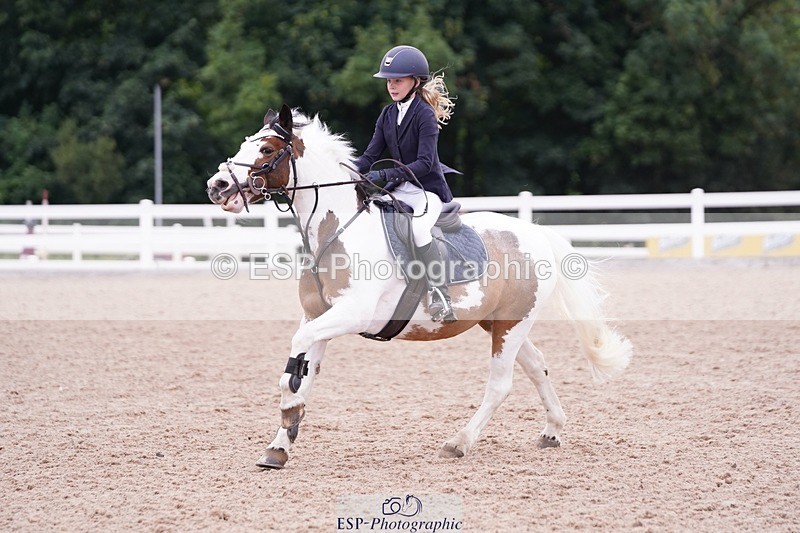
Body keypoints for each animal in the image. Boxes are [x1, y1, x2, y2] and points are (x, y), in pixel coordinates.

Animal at [206, 104, 632, 469]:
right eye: (245, 142)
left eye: (265, 148)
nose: (217, 186)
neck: (336, 230)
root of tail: (537, 234)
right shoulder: (317, 317)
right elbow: (302, 376)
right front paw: (279, 446)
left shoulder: (350, 314)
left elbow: (295, 368)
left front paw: (288, 414)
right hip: (499, 321)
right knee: (536, 365)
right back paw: (552, 431)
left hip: (512, 323)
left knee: (501, 384)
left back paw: (458, 443)